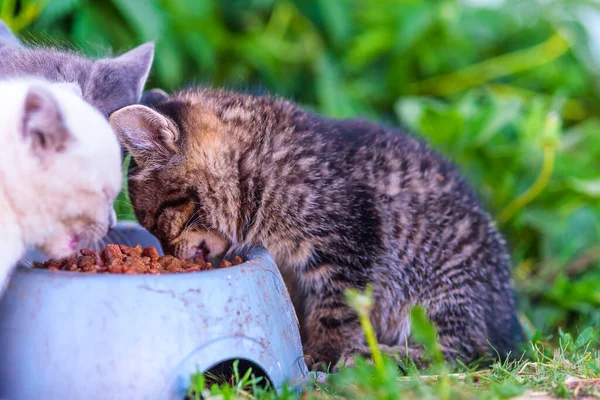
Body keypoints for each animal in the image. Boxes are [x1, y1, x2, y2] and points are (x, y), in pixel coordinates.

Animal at [110, 87, 524, 368]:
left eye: (154, 220)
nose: (169, 254)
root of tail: (506, 315)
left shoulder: (349, 241)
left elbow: (337, 308)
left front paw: (325, 352)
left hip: (445, 289)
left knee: (459, 349)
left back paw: (382, 356)